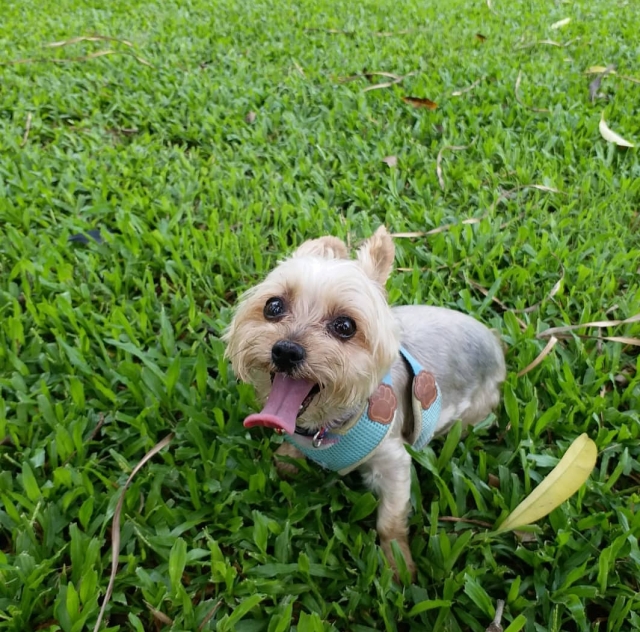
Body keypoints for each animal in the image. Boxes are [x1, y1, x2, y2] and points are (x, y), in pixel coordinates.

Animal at [225, 227, 504, 576]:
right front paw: (287, 458)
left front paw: (398, 566)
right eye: (273, 306)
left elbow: (390, 522)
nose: (286, 351)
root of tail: (495, 341)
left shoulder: (394, 462)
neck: (329, 427)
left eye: (345, 326)